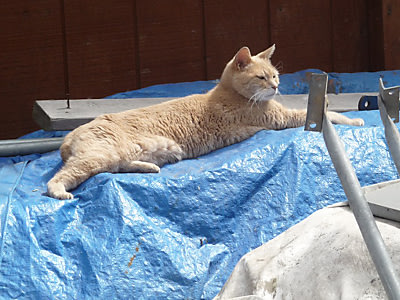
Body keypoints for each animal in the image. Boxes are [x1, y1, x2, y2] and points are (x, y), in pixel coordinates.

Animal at [47, 44, 362, 199]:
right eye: (262, 77)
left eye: (275, 75)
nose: (275, 87)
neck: (230, 92)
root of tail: (68, 138)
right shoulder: (281, 118)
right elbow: (329, 115)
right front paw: (355, 120)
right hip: (96, 157)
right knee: (60, 178)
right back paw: (59, 192)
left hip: (123, 155)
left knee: (118, 167)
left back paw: (148, 167)